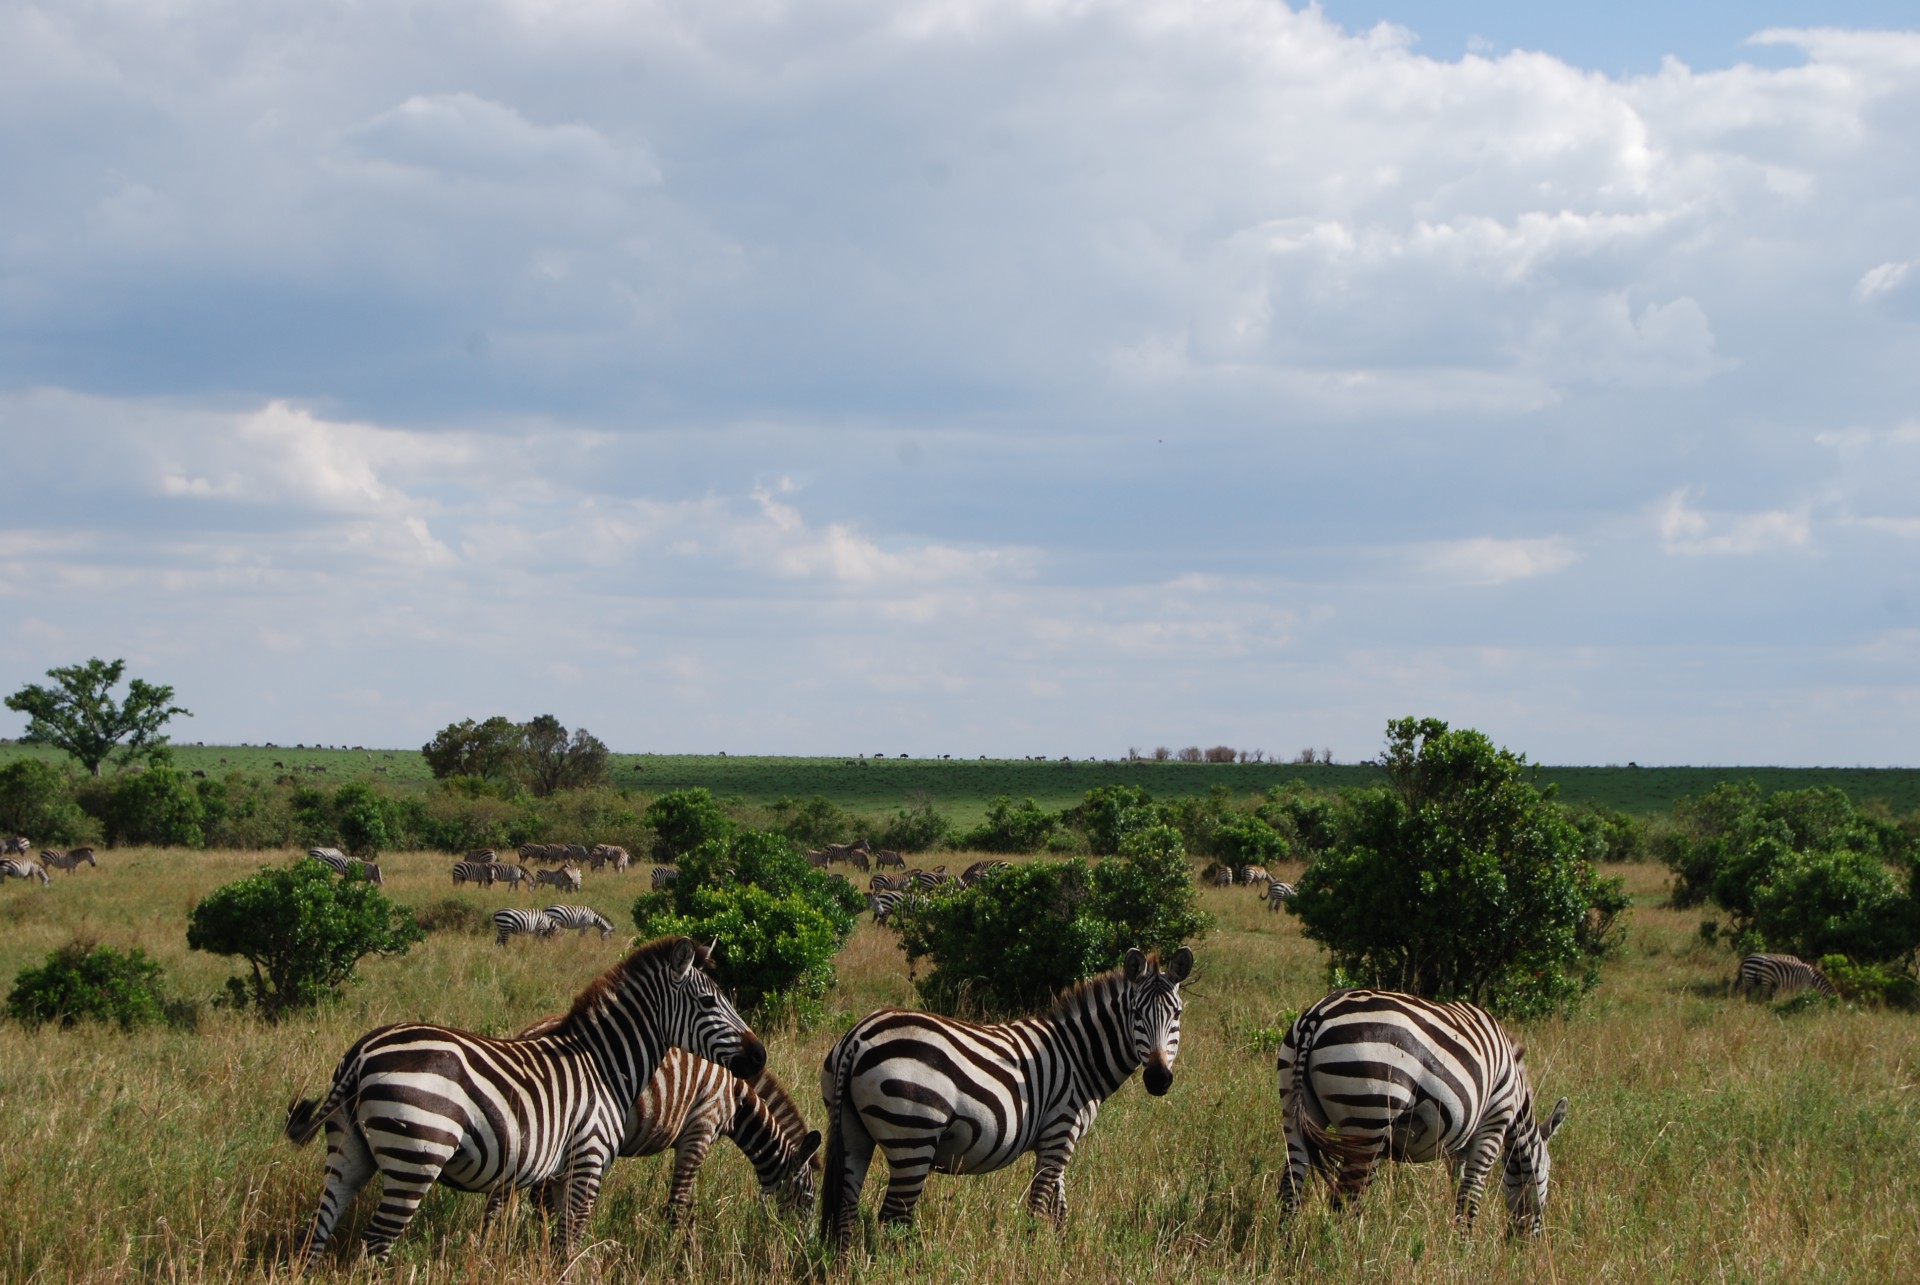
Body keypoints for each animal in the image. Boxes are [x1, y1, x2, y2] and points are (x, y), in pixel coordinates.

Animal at [284, 933, 764, 1260]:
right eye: (708, 1002)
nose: (759, 1056)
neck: (604, 1065)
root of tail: (362, 1052)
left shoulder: (560, 1170)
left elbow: (556, 1238)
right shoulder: (587, 1159)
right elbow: (571, 1240)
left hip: (349, 1152)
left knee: (315, 1236)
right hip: (415, 1154)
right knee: (376, 1244)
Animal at [483, 1037, 821, 1229]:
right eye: (808, 1197)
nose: (800, 1244)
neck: (736, 1099)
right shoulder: (699, 1130)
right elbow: (677, 1206)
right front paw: (675, 1259)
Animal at [817, 937, 1190, 1244]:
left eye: (1177, 1014)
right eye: (1136, 1013)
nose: (1158, 1079)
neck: (1078, 1055)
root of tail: (857, 1037)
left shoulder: (1058, 1139)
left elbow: (1060, 1209)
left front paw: (1059, 1253)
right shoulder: (1060, 1131)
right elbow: (1039, 1207)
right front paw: (1033, 1255)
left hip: (852, 1131)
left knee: (846, 1211)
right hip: (913, 1134)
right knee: (894, 1217)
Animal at [1267, 983, 1566, 1229]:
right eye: (1546, 1173)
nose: (1523, 1243)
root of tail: (1315, 1018)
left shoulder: (1458, 1144)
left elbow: (1457, 1189)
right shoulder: (1493, 1123)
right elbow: (1470, 1196)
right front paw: (1465, 1250)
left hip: (1297, 1110)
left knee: (1291, 1189)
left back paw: (1288, 1251)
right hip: (1368, 1115)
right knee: (1344, 1201)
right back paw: (1346, 1253)